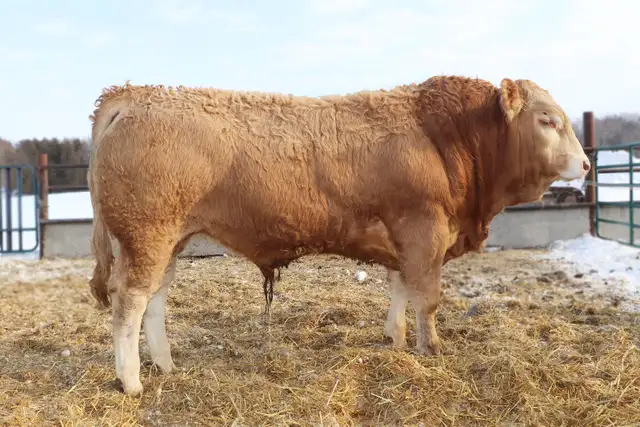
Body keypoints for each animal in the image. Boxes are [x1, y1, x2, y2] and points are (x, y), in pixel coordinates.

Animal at [87, 75, 590, 395]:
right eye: (547, 119)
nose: (586, 164)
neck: (449, 137)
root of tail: (133, 95)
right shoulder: (424, 231)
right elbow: (426, 298)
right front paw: (431, 348)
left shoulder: (405, 238)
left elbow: (399, 289)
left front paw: (395, 339)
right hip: (147, 235)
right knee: (129, 303)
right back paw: (131, 382)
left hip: (169, 239)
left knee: (154, 299)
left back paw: (166, 366)